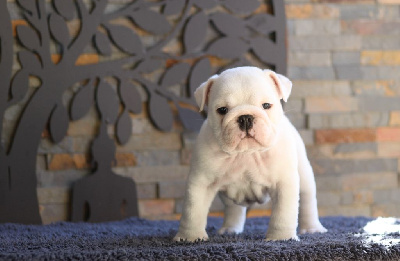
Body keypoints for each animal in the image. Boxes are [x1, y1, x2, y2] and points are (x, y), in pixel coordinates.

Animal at [173, 66, 326, 241]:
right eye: (222, 110)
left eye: (266, 105)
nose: (245, 117)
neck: (246, 153)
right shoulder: (201, 182)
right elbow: (193, 211)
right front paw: (190, 236)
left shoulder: (283, 183)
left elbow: (283, 213)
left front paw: (281, 237)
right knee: (233, 209)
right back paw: (230, 229)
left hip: (305, 176)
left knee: (308, 201)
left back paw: (312, 228)